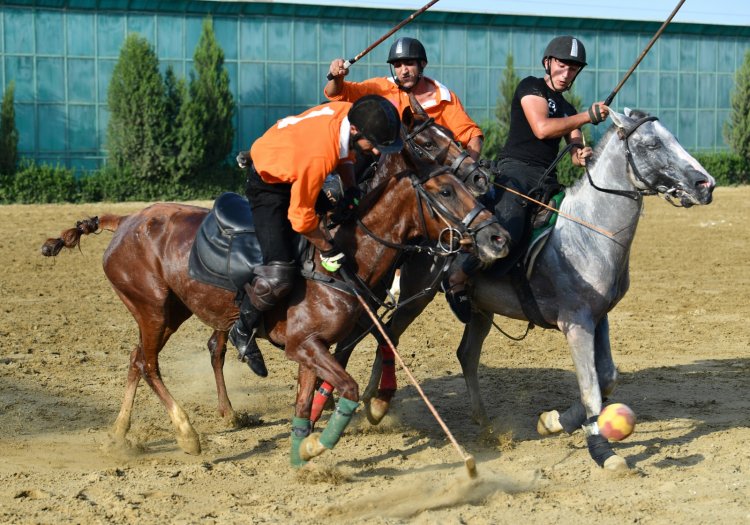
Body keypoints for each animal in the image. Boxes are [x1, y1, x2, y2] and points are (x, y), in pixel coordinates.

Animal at [340, 108, 716, 468]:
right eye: (652, 144)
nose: (706, 183)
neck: (589, 230)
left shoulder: (599, 317)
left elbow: (607, 377)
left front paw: (554, 421)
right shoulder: (576, 324)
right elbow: (591, 389)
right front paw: (602, 451)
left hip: (480, 308)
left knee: (466, 354)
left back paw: (483, 421)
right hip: (417, 294)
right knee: (389, 336)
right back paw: (373, 405)